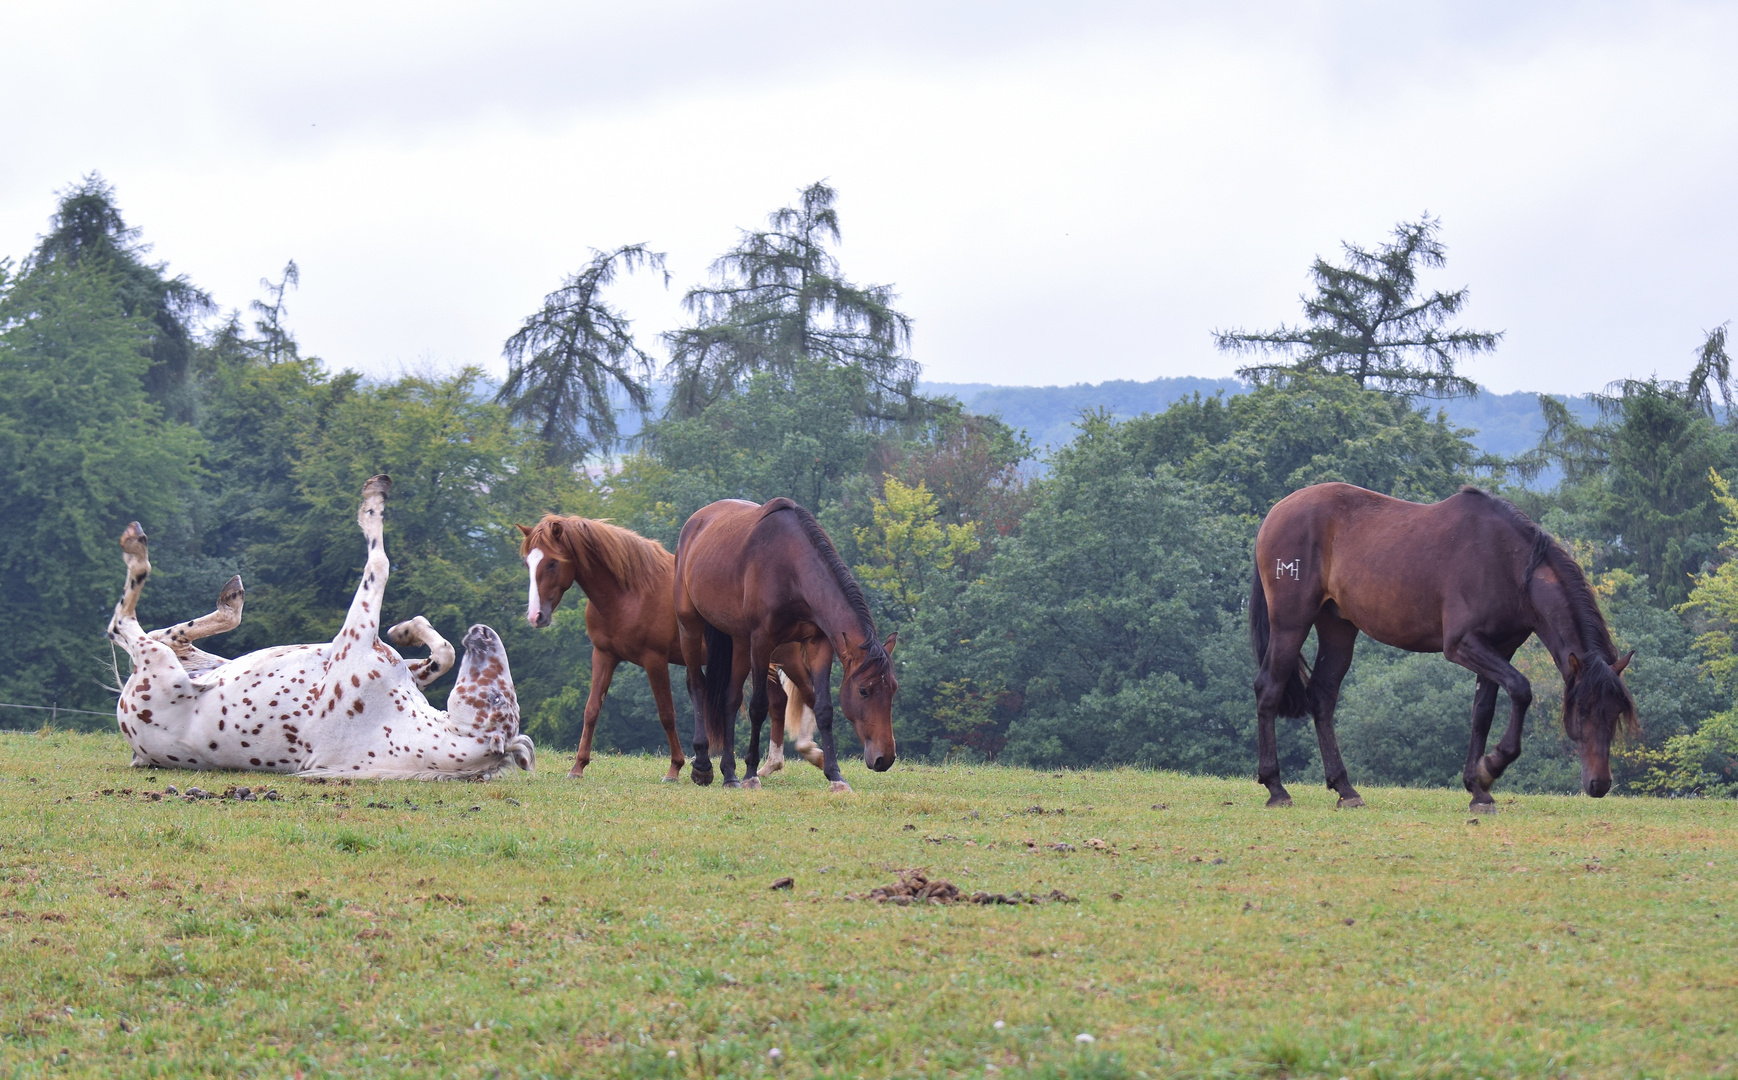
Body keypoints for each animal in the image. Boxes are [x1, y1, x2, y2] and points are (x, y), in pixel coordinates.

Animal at [106, 473, 531, 775]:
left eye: (497, 698)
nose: (483, 632)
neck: (397, 729)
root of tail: (138, 751)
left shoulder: (354, 637)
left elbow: (380, 561)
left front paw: (373, 501)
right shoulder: (398, 664)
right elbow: (441, 653)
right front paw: (407, 628)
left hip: (158, 665)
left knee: (125, 623)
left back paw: (136, 546)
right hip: (200, 660)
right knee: (172, 635)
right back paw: (229, 598)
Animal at [510, 511, 823, 779]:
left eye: (552, 562)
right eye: (527, 563)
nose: (536, 616)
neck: (630, 592)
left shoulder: (654, 661)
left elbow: (666, 714)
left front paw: (675, 767)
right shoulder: (604, 655)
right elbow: (591, 710)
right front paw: (578, 766)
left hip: (784, 657)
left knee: (807, 692)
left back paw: (813, 754)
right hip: (763, 659)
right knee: (779, 701)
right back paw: (770, 765)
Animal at [674, 497, 903, 793]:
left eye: (893, 689)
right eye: (864, 691)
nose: (885, 758)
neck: (791, 568)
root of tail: (696, 521)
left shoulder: (819, 644)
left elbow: (823, 708)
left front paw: (835, 775)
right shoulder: (762, 641)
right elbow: (758, 706)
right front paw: (751, 774)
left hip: (739, 641)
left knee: (730, 700)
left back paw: (729, 774)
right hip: (690, 625)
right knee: (697, 685)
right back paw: (703, 766)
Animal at [1251, 483, 1626, 806]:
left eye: (1616, 712)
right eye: (1583, 710)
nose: (1600, 784)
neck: (1509, 564)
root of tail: (1276, 512)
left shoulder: (1500, 648)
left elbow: (1482, 713)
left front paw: (1478, 788)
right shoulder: (1463, 644)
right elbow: (1521, 689)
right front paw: (1492, 765)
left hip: (1338, 628)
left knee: (1322, 697)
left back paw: (1345, 789)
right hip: (1291, 624)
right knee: (1268, 688)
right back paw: (1276, 788)